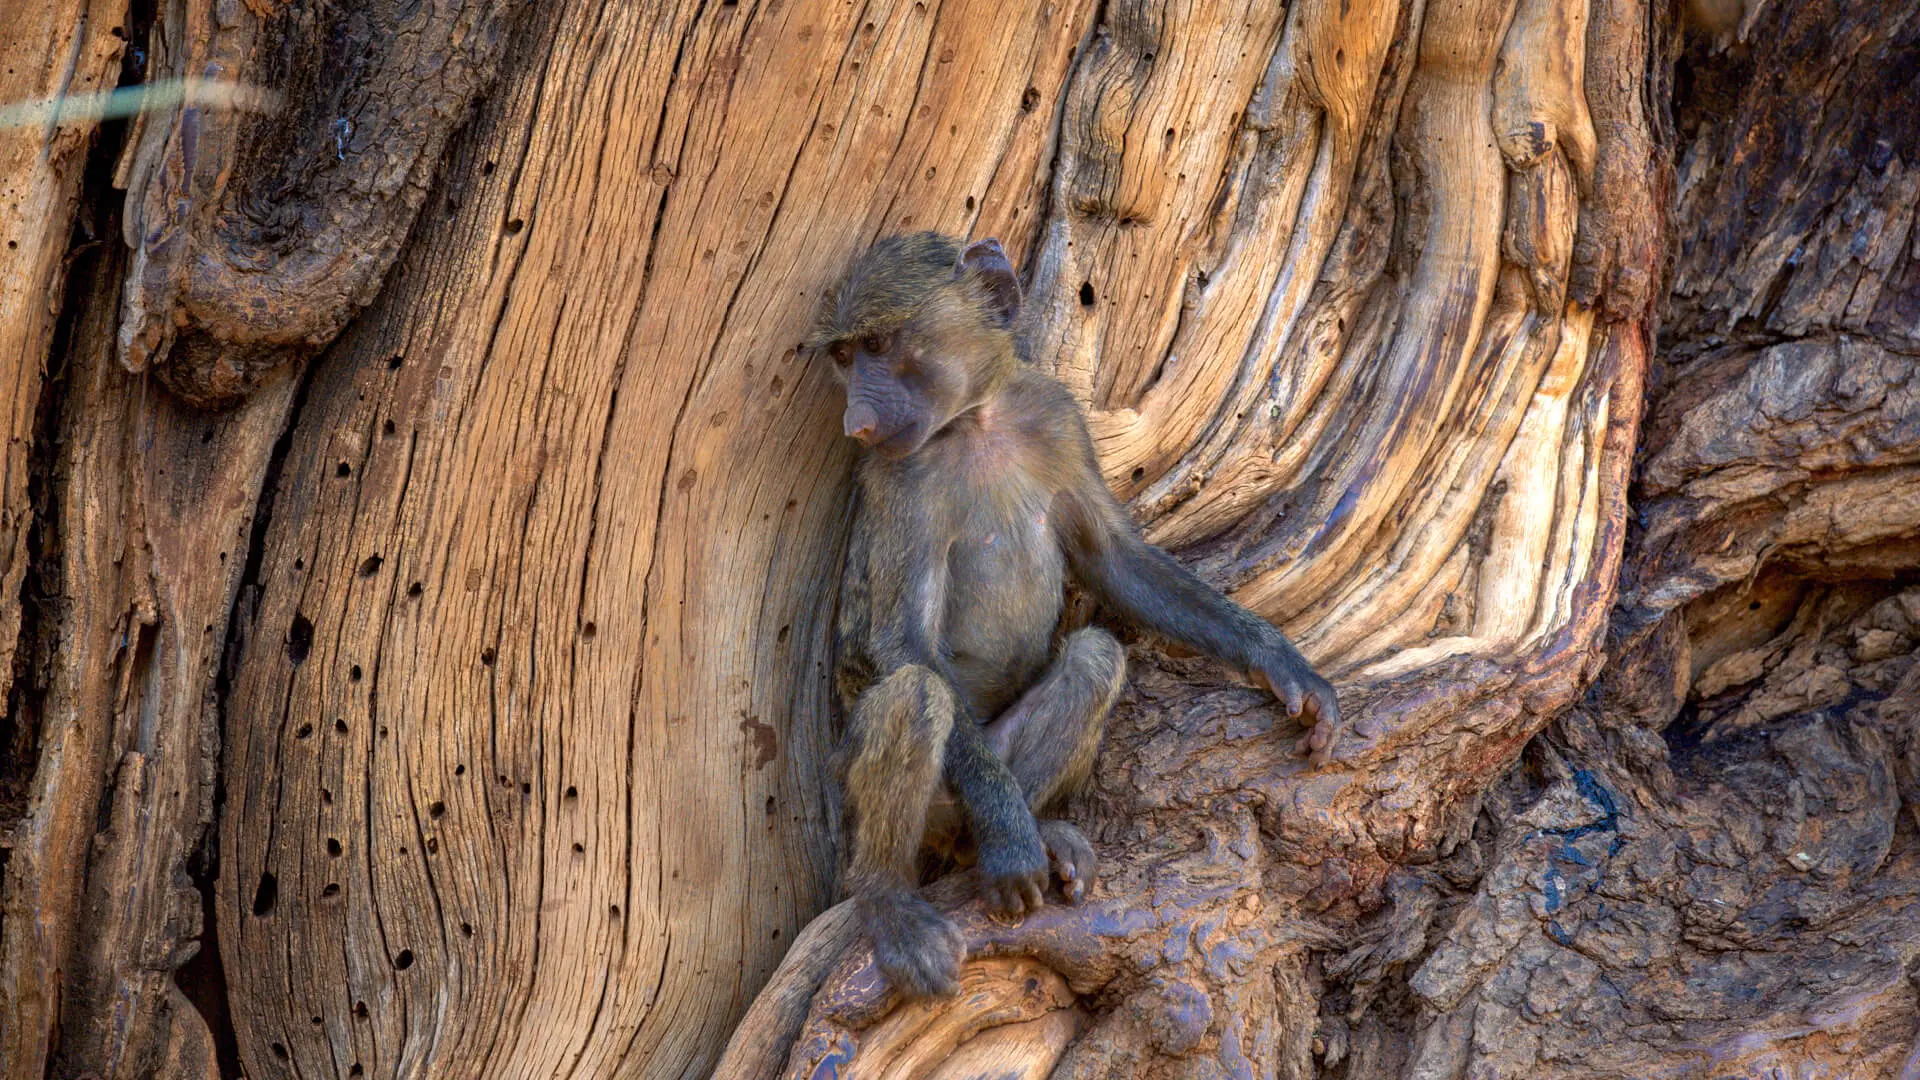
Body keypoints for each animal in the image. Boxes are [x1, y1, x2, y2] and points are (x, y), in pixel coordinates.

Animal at [813, 232, 1340, 999]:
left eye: (880, 345)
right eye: (847, 356)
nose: (856, 424)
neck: (975, 423)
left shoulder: (1056, 415)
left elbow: (1112, 557)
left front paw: (1280, 661)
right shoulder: (897, 480)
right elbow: (902, 642)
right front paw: (1008, 843)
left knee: (1095, 656)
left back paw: (1035, 831)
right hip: (924, 791)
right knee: (915, 696)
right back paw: (904, 893)